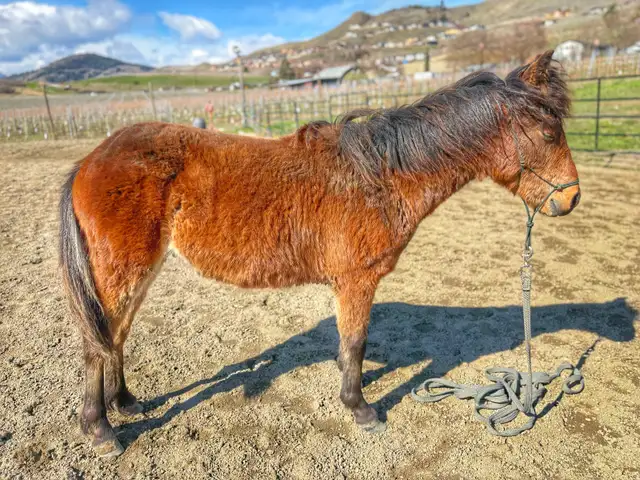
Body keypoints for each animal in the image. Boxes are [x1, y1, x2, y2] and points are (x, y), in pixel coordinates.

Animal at [59, 50, 580, 457]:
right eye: (549, 133)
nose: (572, 199)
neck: (380, 175)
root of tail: (90, 159)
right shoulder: (356, 280)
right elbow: (355, 344)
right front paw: (361, 408)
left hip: (138, 272)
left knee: (115, 336)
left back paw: (125, 403)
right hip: (121, 271)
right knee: (95, 344)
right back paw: (100, 429)